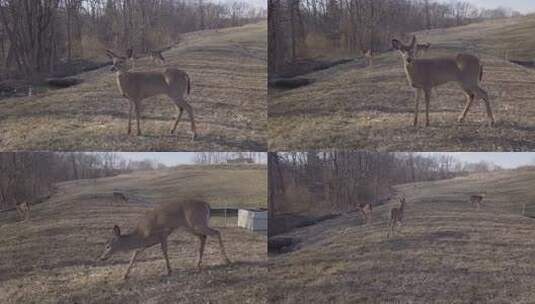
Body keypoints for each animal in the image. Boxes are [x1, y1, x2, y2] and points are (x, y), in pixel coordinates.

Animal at [99, 198, 231, 280]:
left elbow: (164, 251)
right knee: (203, 237)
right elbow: (135, 254)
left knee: (217, 232)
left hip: (197, 223)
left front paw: (168, 271)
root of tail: (207, 205)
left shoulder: (162, 234)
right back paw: (198, 264)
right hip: (190, 227)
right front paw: (125, 275)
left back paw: (227, 260)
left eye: (107, 246)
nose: (101, 258)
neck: (142, 234)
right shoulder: (147, 243)